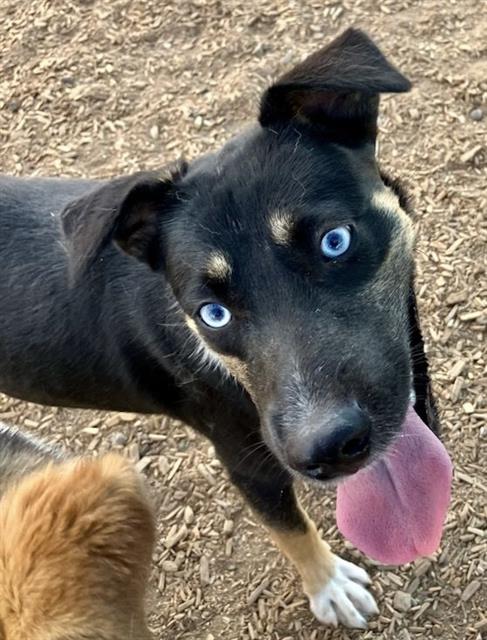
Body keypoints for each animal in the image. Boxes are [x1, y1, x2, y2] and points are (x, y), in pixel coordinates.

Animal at [0, 30, 436, 632]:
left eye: (334, 241)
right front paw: (329, 585)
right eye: (213, 313)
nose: (326, 447)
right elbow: (290, 528)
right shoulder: (248, 460)